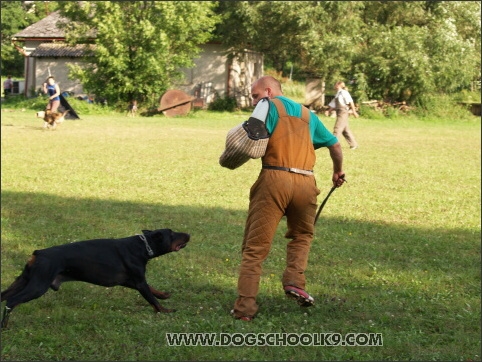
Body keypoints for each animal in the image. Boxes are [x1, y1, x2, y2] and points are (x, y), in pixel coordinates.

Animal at [1, 229, 190, 328]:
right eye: (172, 234)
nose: (188, 234)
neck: (143, 246)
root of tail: (38, 254)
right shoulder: (138, 281)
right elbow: (152, 300)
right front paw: (166, 311)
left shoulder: (129, 281)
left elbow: (153, 290)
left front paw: (164, 295)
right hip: (38, 285)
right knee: (12, 301)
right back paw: (5, 326)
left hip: (24, 280)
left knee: (4, 296)